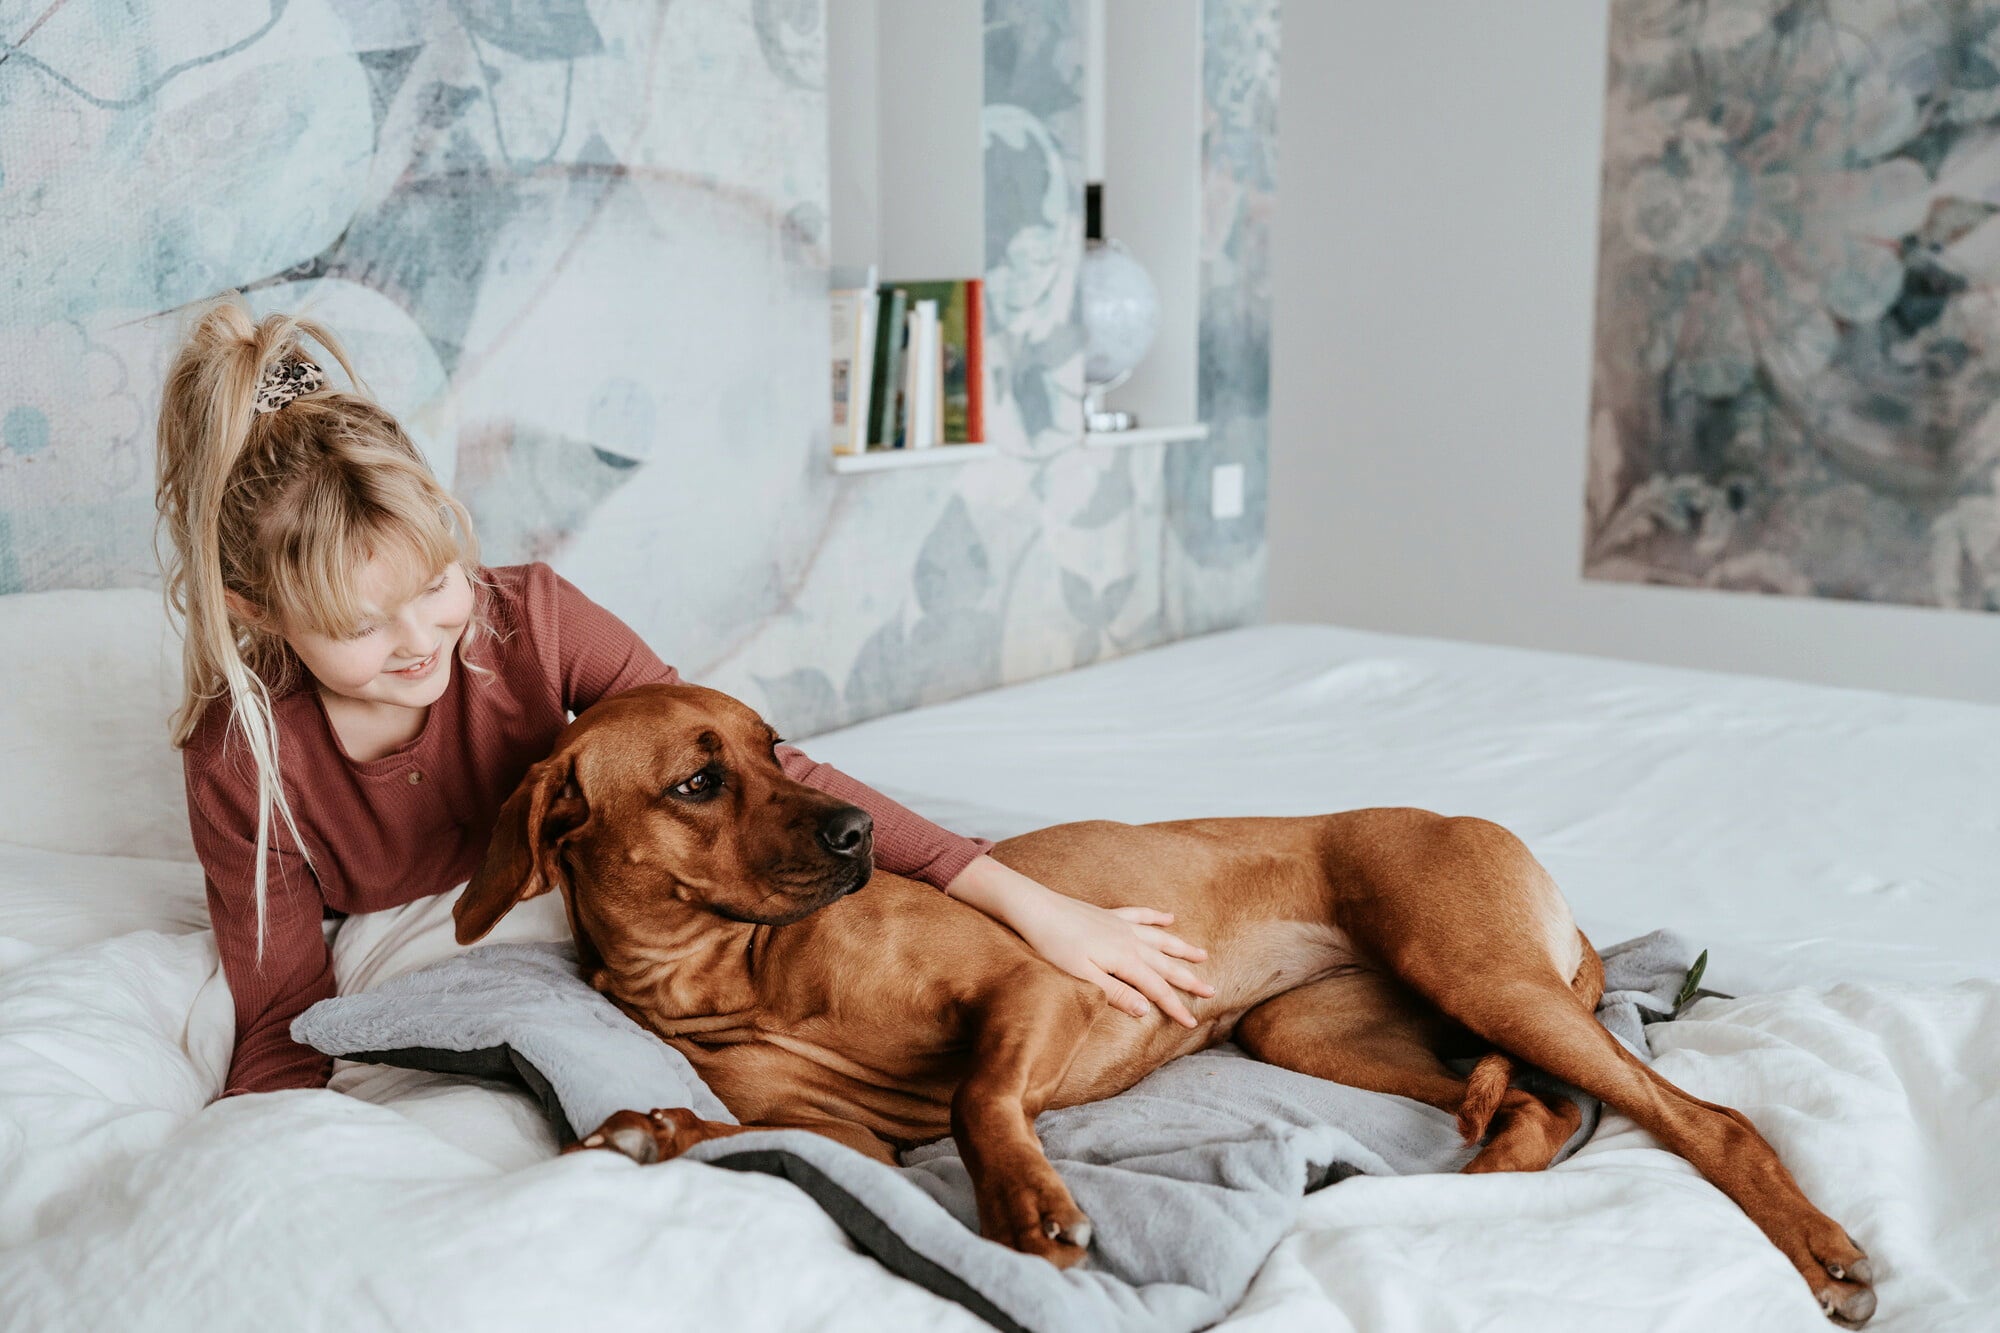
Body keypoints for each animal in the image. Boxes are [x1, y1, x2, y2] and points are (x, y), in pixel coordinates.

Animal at [454, 682, 1876, 1327]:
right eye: (698, 781)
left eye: (774, 747)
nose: (859, 831)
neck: (733, 969)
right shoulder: (856, 1143)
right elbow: (765, 1134)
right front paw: (650, 1127)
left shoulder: (1027, 982)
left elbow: (978, 1098)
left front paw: (1028, 1204)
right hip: (1310, 1026)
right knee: (1535, 1106)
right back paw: (1445, 1181)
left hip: (1478, 970)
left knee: (1699, 1118)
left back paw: (1821, 1252)